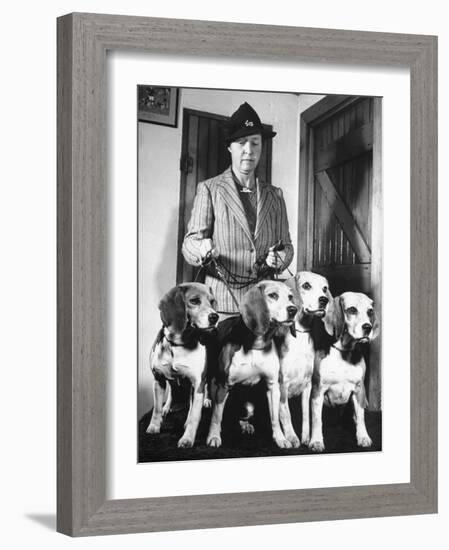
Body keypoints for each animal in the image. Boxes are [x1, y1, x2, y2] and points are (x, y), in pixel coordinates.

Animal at [146, 284, 218, 448]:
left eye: (212, 301)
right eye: (194, 301)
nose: (215, 316)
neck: (178, 344)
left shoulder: (197, 384)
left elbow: (194, 416)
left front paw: (187, 439)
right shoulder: (158, 379)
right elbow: (156, 408)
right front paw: (154, 426)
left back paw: (206, 401)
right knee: (173, 392)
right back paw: (167, 407)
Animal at [206, 282, 298, 450]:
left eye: (290, 297)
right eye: (273, 295)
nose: (293, 309)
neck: (256, 345)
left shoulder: (272, 386)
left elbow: (275, 418)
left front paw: (280, 438)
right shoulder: (224, 385)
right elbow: (217, 415)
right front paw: (214, 436)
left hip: (248, 407)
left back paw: (245, 425)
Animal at [274, 272, 330, 448]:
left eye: (325, 288)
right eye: (306, 285)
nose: (324, 300)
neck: (300, 334)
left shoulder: (307, 386)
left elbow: (307, 415)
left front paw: (307, 437)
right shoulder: (282, 385)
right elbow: (286, 414)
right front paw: (291, 437)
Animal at [308, 294, 378, 452]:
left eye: (370, 311)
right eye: (352, 310)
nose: (368, 327)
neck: (343, 352)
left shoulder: (359, 389)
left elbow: (361, 417)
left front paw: (363, 437)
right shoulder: (317, 390)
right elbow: (316, 419)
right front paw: (316, 441)